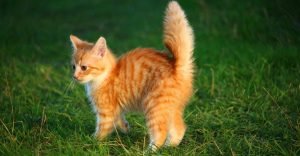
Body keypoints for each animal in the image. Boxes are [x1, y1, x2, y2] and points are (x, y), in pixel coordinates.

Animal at [69, 0, 193, 150]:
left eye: (84, 67)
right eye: (73, 67)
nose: (75, 76)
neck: (103, 77)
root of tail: (176, 65)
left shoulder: (106, 112)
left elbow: (102, 129)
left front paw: (92, 142)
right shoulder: (116, 109)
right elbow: (119, 120)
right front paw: (125, 128)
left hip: (154, 106)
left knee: (160, 132)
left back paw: (151, 150)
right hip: (170, 108)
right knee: (179, 128)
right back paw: (169, 147)